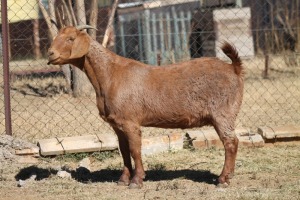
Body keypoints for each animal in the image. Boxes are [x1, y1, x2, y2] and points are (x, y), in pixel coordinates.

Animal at [47, 25, 244, 188]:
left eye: (71, 38)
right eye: (56, 36)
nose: (50, 54)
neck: (110, 74)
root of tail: (233, 68)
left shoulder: (131, 122)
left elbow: (135, 150)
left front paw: (136, 180)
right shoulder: (117, 124)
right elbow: (124, 151)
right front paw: (123, 180)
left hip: (223, 113)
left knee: (231, 142)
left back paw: (223, 180)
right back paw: (228, 176)